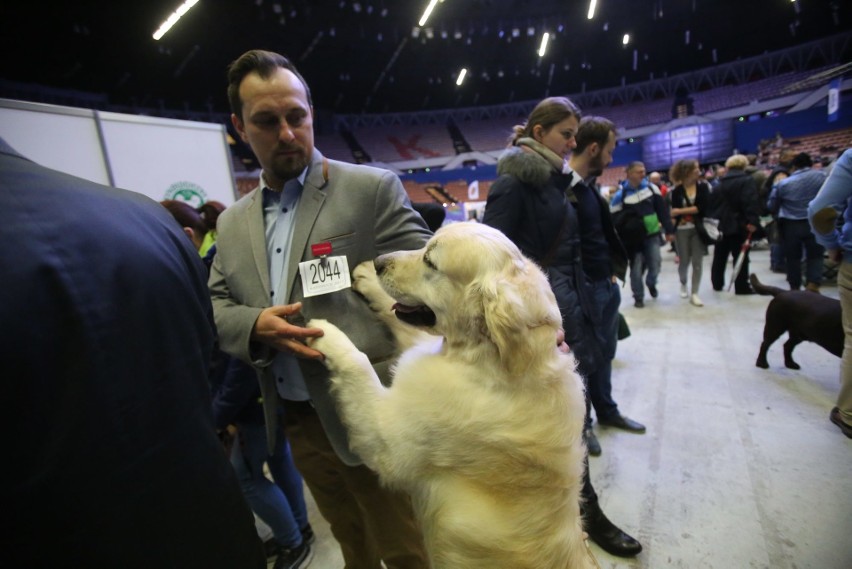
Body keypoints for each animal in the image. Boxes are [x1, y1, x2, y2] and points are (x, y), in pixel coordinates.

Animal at [308, 222, 600, 568]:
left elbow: (358, 363)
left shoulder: (388, 440)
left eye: (430, 262)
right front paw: (367, 277)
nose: (379, 262)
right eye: (425, 245)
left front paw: (322, 333)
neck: (486, 360)